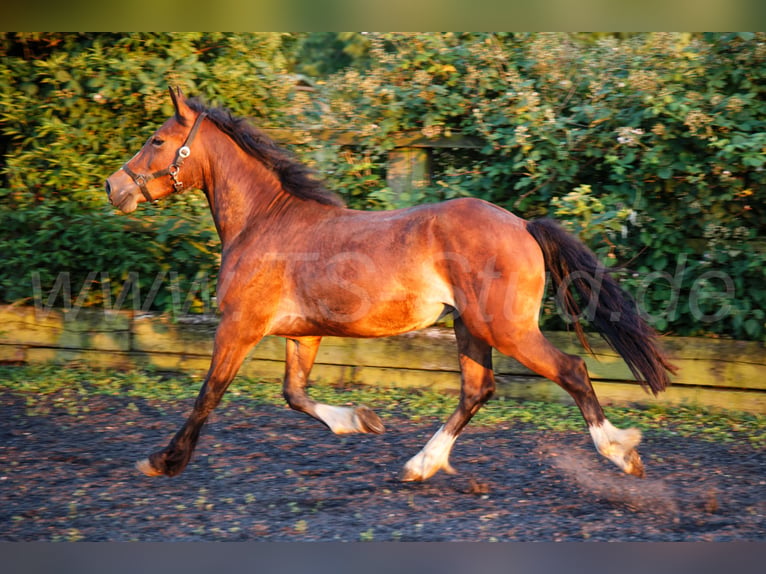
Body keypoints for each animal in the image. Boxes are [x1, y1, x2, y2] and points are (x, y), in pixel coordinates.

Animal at [106, 87, 676, 482]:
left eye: (157, 140)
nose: (113, 187)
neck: (266, 221)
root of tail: (522, 225)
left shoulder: (240, 326)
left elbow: (209, 394)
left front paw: (163, 460)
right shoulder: (302, 333)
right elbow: (294, 394)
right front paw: (361, 421)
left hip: (505, 328)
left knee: (571, 371)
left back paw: (620, 452)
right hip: (471, 328)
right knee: (478, 390)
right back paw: (419, 465)